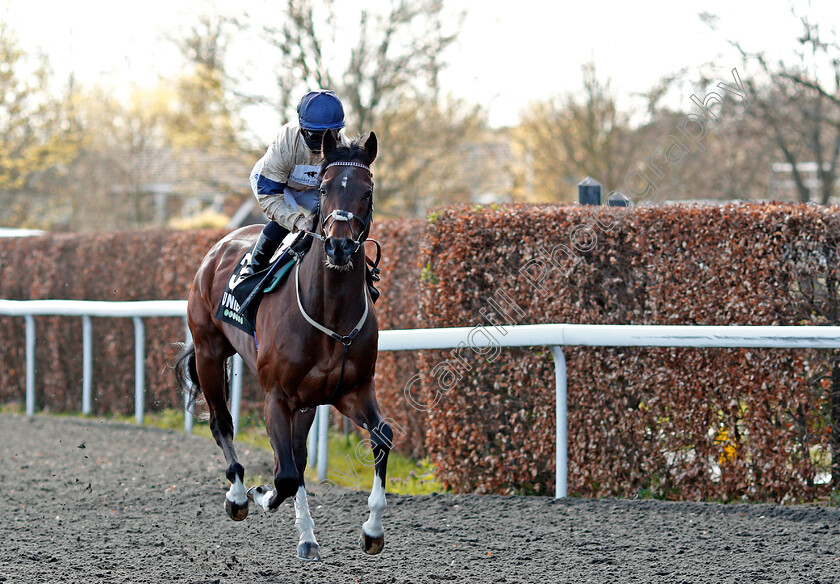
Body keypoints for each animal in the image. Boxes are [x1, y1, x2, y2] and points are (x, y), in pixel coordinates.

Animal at [176, 132, 392, 560]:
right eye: (324, 188)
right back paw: (238, 496)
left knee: (298, 453)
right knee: (223, 424)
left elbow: (381, 438)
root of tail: (218, 247)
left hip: (306, 400)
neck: (330, 314)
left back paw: (307, 537)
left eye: (367, 191)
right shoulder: (277, 395)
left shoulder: (352, 392)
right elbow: (285, 475)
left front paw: (373, 530)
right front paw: (260, 494)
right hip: (209, 352)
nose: (339, 247)